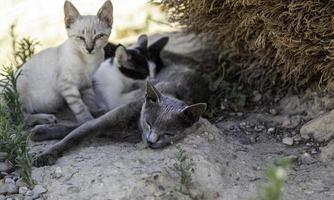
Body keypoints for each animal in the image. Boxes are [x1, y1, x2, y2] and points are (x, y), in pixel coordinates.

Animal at [31, 37, 209, 166]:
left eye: (169, 133)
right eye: (149, 123)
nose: (151, 141)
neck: (135, 127)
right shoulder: (104, 119)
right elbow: (74, 135)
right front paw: (45, 152)